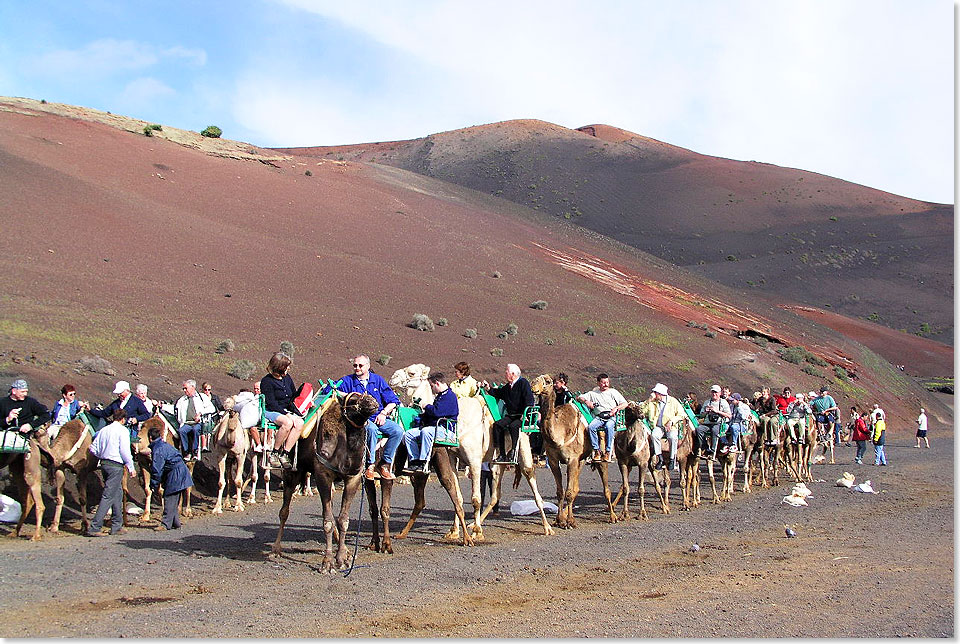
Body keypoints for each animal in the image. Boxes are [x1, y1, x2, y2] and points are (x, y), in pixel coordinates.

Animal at [270, 388, 378, 572]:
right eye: (353, 399)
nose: (372, 402)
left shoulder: (353, 477)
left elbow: (343, 520)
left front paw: (342, 558)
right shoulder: (323, 474)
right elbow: (327, 521)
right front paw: (327, 563)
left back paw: (347, 552)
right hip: (293, 472)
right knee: (284, 511)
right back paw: (276, 549)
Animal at [524, 374, 616, 532]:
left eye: (548, 382)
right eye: (535, 379)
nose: (533, 386)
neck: (559, 435)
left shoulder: (571, 459)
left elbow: (568, 492)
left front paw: (570, 522)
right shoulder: (554, 461)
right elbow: (560, 491)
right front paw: (559, 520)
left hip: (601, 455)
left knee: (606, 488)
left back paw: (613, 516)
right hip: (582, 459)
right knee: (576, 487)